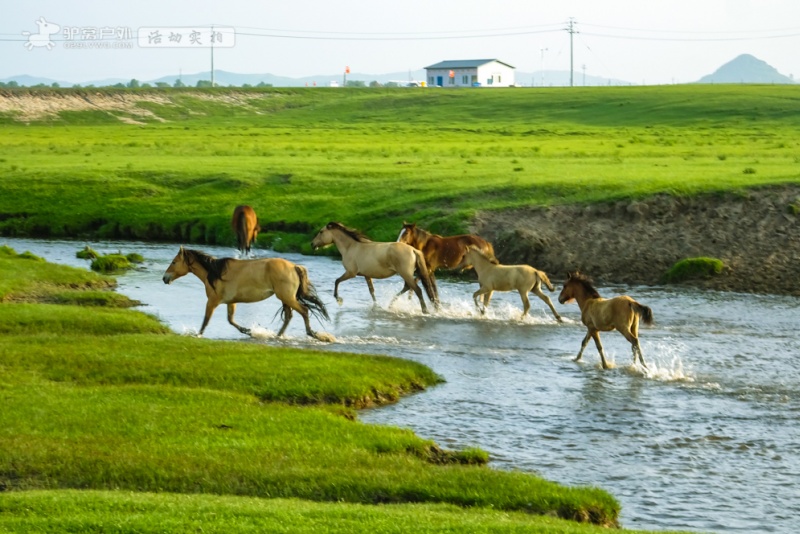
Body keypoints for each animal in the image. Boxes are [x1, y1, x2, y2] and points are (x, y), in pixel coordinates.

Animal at [162, 248, 334, 344]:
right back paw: (277, 336)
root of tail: (294, 266)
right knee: (289, 316)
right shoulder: (230, 302)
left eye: (174, 262)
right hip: (286, 298)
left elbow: (206, 321)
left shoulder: (212, 302)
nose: (165, 278)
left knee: (304, 311)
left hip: (287, 297)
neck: (215, 273)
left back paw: (314, 334)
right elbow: (231, 321)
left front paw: (197, 335)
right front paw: (249, 331)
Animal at [310, 222, 438, 314]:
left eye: (321, 232)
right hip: (410, 274)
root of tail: (413, 250)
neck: (351, 247)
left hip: (405, 273)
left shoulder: (351, 273)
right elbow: (371, 291)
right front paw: (377, 307)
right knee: (408, 287)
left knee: (417, 289)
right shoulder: (367, 275)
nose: (312, 244)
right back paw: (391, 305)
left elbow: (337, 281)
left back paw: (425, 311)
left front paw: (338, 299)